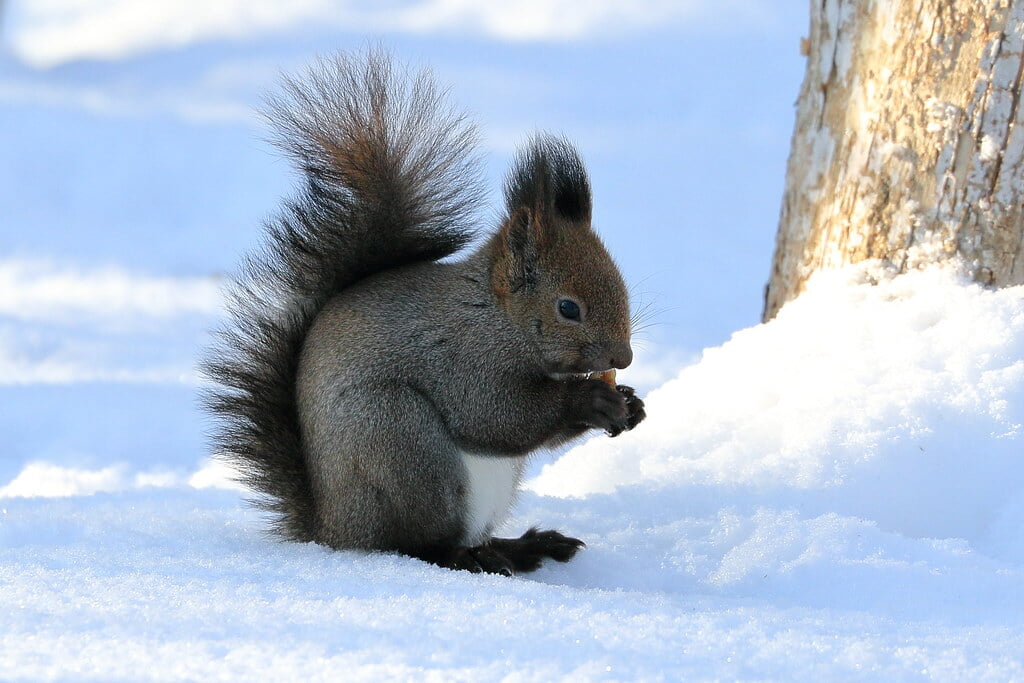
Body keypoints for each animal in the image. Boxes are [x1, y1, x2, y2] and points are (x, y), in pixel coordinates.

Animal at [202, 50, 643, 573]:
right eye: (568, 308)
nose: (623, 359)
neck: (497, 316)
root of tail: (332, 530)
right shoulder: (463, 358)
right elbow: (497, 417)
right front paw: (591, 400)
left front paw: (632, 404)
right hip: (402, 443)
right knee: (419, 545)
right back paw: (474, 557)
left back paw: (523, 546)